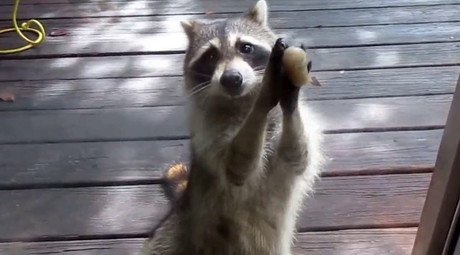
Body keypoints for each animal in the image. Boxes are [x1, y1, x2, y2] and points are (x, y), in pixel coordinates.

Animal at [140, 0, 324, 254]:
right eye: (210, 56)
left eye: (245, 48)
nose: (231, 79)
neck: (241, 103)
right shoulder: (208, 133)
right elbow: (236, 166)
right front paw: (266, 91)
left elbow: (297, 155)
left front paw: (289, 94)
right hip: (175, 230)